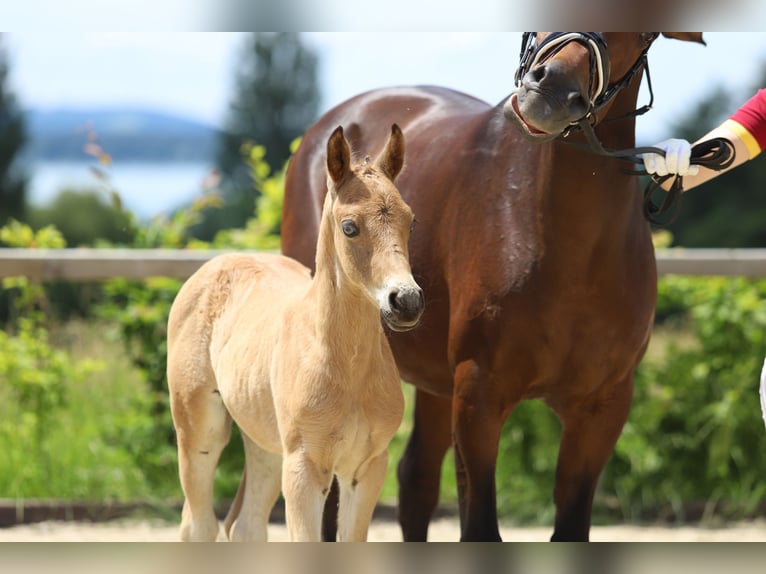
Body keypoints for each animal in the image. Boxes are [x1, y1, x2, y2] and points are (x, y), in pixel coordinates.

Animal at [166, 124, 426, 544]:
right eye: (349, 227)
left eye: (411, 221)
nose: (406, 301)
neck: (345, 364)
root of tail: (222, 262)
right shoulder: (305, 468)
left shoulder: (366, 467)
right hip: (200, 429)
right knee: (199, 524)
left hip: (266, 441)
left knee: (247, 526)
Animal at [284, 33, 712, 544]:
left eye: (644, 35)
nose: (552, 87)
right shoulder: (479, 394)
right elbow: (482, 526)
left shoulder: (601, 408)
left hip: (435, 381)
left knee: (416, 479)